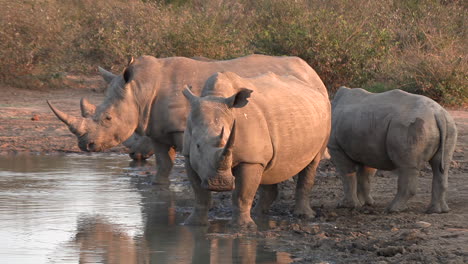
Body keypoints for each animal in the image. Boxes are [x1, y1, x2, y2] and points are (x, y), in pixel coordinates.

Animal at [48, 54, 326, 184]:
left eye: (107, 118)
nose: (85, 145)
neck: (140, 91)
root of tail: (311, 71)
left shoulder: (183, 129)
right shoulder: (158, 128)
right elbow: (164, 163)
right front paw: (158, 186)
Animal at [181, 71, 330, 228]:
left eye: (229, 142)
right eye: (198, 146)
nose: (220, 184)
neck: (215, 95)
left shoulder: (251, 160)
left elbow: (242, 194)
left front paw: (243, 227)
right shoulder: (188, 155)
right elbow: (199, 193)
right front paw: (193, 224)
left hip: (325, 115)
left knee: (313, 163)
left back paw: (305, 215)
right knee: (270, 169)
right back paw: (259, 213)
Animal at [330, 87, 458, 213]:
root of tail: (437, 113)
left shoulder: (336, 148)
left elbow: (347, 174)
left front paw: (346, 206)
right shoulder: (367, 148)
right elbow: (365, 176)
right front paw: (365, 203)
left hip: (410, 126)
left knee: (407, 167)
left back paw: (392, 209)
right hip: (448, 125)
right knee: (440, 167)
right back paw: (437, 211)